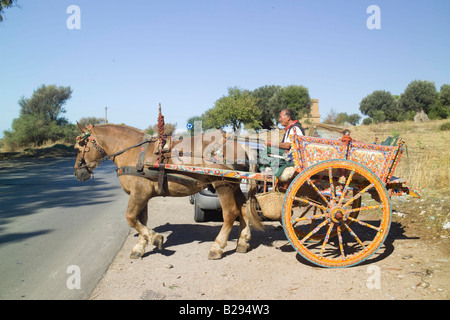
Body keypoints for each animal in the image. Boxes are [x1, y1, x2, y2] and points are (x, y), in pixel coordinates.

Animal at [73, 122, 264, 260]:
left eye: (80, 146)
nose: (77, 172)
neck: (134, 152)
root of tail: (240, 145)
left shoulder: (139, 194)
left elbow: (131, 218)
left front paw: (155, 238)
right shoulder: (143, 195)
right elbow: (141, 219)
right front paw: (140, 246)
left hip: (222, 185)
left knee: (230, 213)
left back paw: (217, 247)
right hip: (233, 185)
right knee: (243, 210)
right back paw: (242, 242)